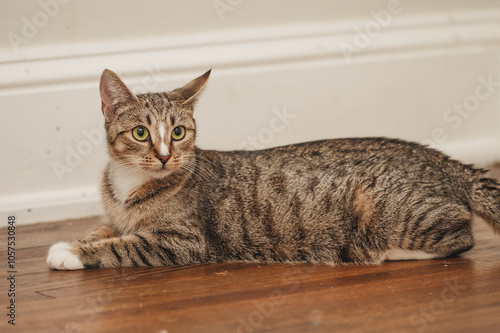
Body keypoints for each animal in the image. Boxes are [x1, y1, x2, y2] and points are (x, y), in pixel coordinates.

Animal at [47, 68, 500, 268]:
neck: (130, 184)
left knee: (460, 239)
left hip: (394, 212)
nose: (163, 155)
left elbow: (122, 246)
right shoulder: (116, 216)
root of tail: (448, 163)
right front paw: (72, 241)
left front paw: (72, 253)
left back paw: (382, 251)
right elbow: (102, 229)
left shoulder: (182, 241)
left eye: (178, 132)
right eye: (141, 133)